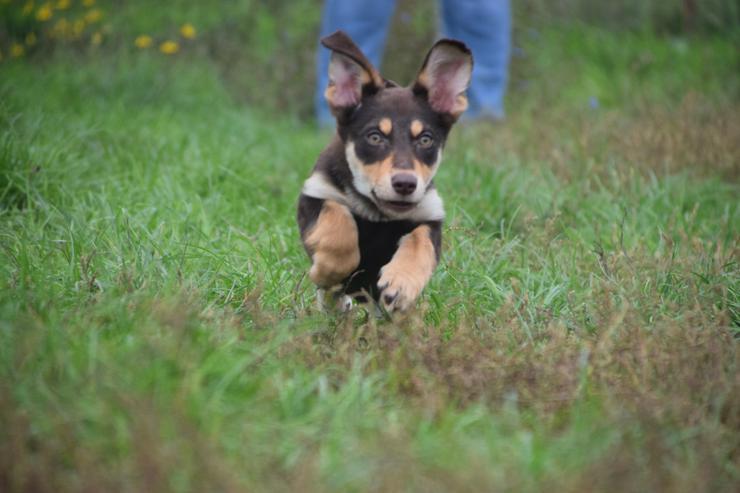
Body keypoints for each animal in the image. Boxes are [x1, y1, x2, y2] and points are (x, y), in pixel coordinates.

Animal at [296, 29, 474, 312]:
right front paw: (329, 270)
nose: (405, 184)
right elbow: (339, 223)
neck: (378, 213)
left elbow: (419, 243)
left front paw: (401, 284)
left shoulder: (430, 217)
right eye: (375, 137)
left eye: (426, 139)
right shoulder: (315, 196)